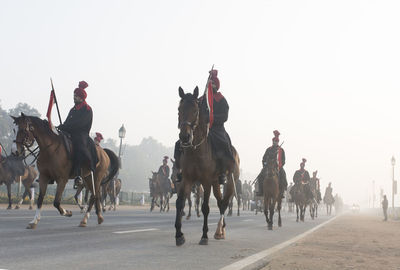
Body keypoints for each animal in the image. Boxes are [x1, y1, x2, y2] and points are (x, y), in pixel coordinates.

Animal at [173, 87, 239, 247]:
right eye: (179, 109)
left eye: (196, 110)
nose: (185, 137)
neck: (195, 150)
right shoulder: (186, 179)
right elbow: (180, 203)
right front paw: (179, 235)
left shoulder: (206, 180)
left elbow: (205, 208)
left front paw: (204, 236)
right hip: (216, 183)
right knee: (220, 201)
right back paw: (221, 229)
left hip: (230, 180)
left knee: (224, 203)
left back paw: (219, 231)